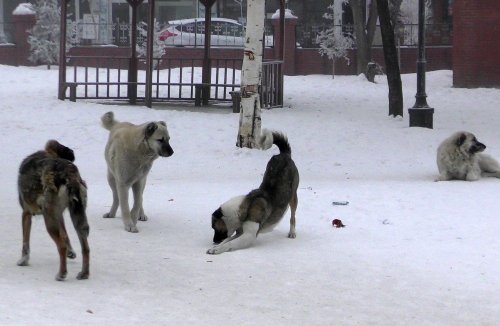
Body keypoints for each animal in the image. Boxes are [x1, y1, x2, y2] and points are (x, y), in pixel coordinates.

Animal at [17, 140, 90, 280]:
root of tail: (69, 174)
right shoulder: (59, 215)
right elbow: (65, 235)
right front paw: (71, 252)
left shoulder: (26, 213)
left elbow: (25, 242)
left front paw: (23, 260)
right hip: (77, 217)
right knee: (86, 248)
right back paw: (84, 273)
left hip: (49, 220)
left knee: (61, 247)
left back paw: (61, 274)